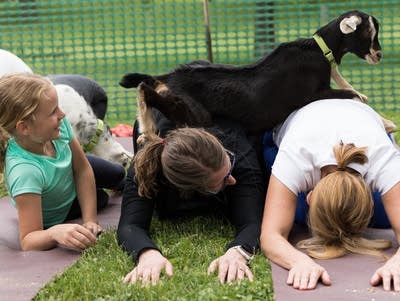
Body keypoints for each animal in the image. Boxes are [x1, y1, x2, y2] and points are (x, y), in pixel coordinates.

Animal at [119, 10, 390, 135]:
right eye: (369, 32)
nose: (379, 55)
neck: (318, 49)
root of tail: (166, 77)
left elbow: (357, 94)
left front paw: (386, 123)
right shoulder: (313, 95)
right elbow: (353, 96)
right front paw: (388, 125)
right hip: (194, 113)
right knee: (147, 91)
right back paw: (147, 127)